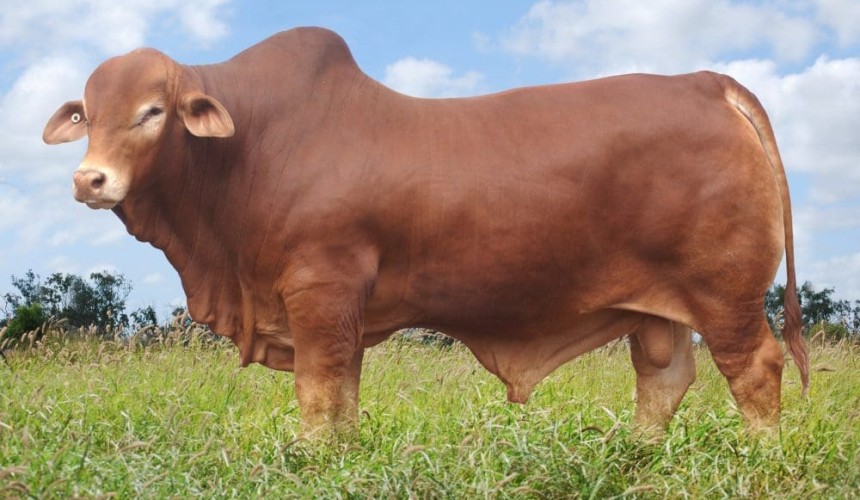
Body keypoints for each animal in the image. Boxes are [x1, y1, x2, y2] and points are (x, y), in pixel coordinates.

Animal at [43, 27, 808, 439]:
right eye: (87, 114)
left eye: (152, 111)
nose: (89, 180)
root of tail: (706, 83)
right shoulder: (340, 317)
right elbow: (343, 401)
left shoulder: (321, 293)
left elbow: (319, 397)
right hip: (658, 308)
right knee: (664, 377)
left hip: (726, 295)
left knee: (756, 371)